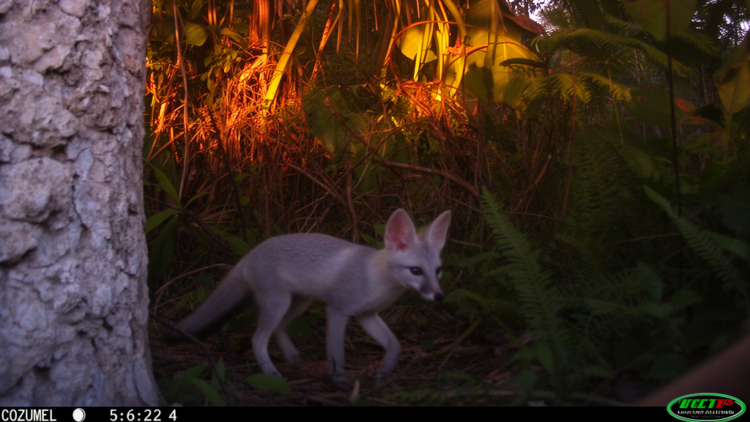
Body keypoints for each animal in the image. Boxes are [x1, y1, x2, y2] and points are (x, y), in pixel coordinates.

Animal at [169, 208, 451, 388]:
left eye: (437, 271)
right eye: (416, 271)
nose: (439, 296)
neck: (375, 279)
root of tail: (250, 253)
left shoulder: (367, 315)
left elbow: (395, 345)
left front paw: (384, 374)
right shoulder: (337, 310)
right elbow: (336, 354)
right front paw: (339, 382)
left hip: (299, 304)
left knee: (278, 330)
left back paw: (292, 359)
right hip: (278, 304)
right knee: (257, 339)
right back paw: (271, 373)